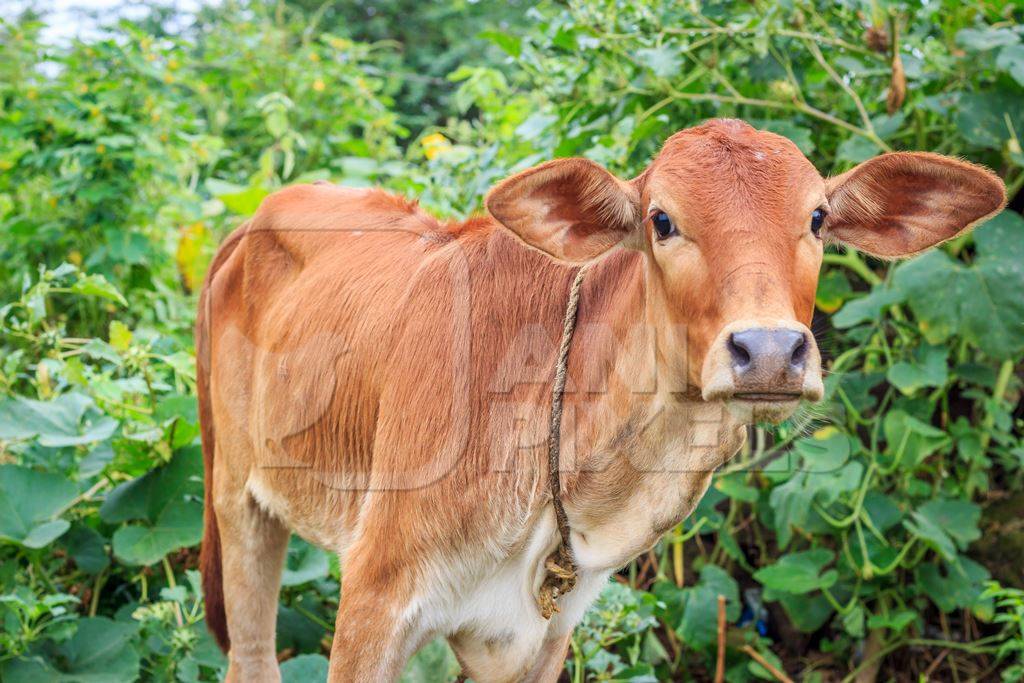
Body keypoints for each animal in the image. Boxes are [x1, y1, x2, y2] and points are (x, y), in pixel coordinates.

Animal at [193, 120, 999, 679]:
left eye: (818, 218)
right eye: (661, 220)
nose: (769, 350)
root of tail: (254, 217)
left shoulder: (541, 635)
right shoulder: (374, 596)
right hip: (238, 501)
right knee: (251, 657)